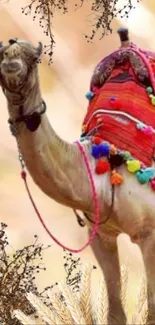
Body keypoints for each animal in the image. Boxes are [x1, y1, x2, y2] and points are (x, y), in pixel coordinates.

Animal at [0, 29, 155, 322]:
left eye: (34, 59)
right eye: (1, 55)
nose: (11, 67)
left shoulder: (149, 231)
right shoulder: (101, 235)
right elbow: (115, 314)